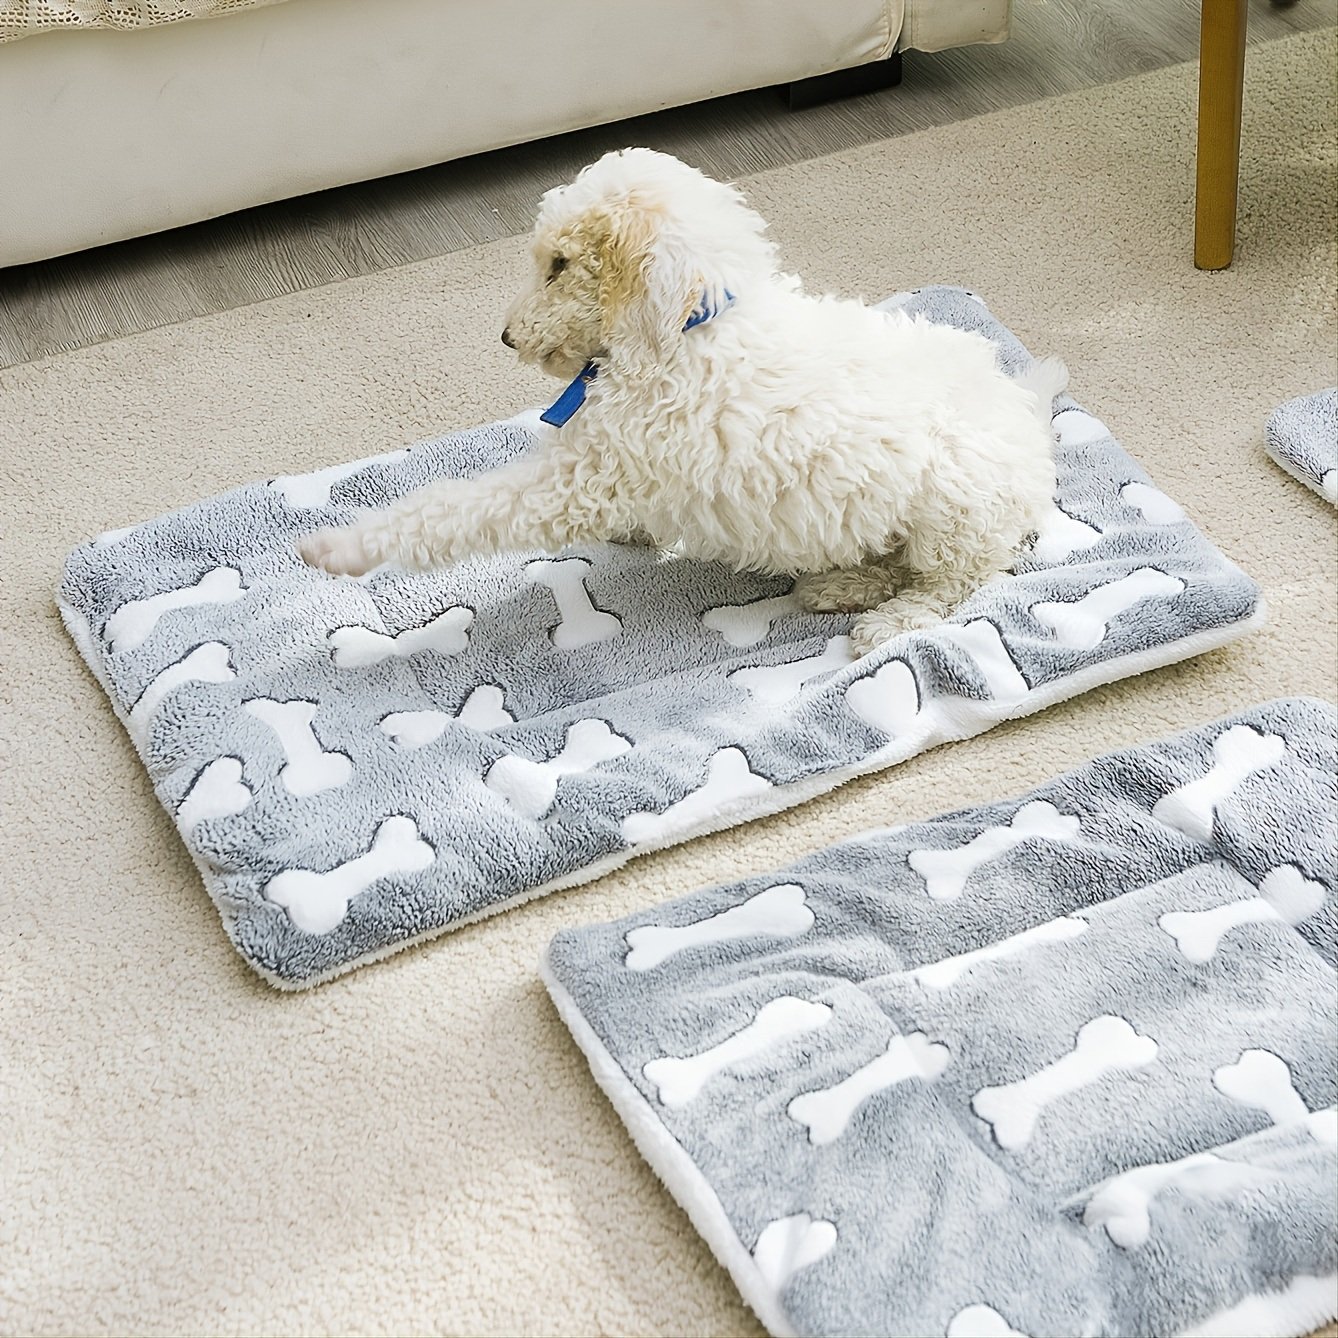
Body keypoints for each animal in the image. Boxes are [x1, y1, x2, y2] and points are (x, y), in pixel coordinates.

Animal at [300, 147, 1066, 655]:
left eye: (558, 265)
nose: (507, 335)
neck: (688, 325)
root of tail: (1029, 414)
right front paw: (638, 533)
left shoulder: (578, 479)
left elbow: (455, 509)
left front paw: (341, 547)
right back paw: (839, 584)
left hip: (955, 509)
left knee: (960, 577)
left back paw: (890, 618)